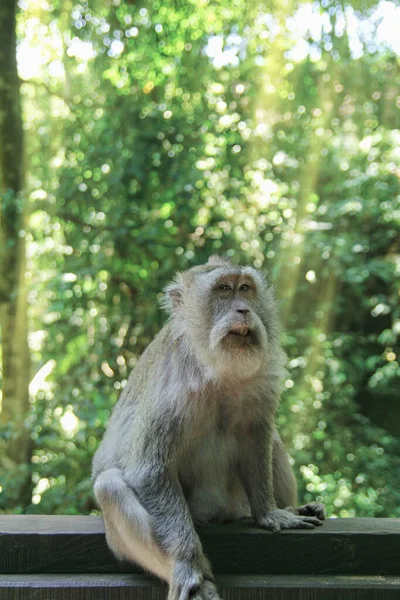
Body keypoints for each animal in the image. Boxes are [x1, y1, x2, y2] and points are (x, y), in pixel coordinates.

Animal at [94, 256, 324, 600]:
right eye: (224, 289)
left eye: (245, 288)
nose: (243, 309)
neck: (216, 369)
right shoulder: (170, 389)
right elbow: (149, 470)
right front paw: (188, 564)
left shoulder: (262, 379)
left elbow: (258, 437)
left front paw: (270, 513)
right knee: (110, 486)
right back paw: (194, 576)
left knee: (274, 441)